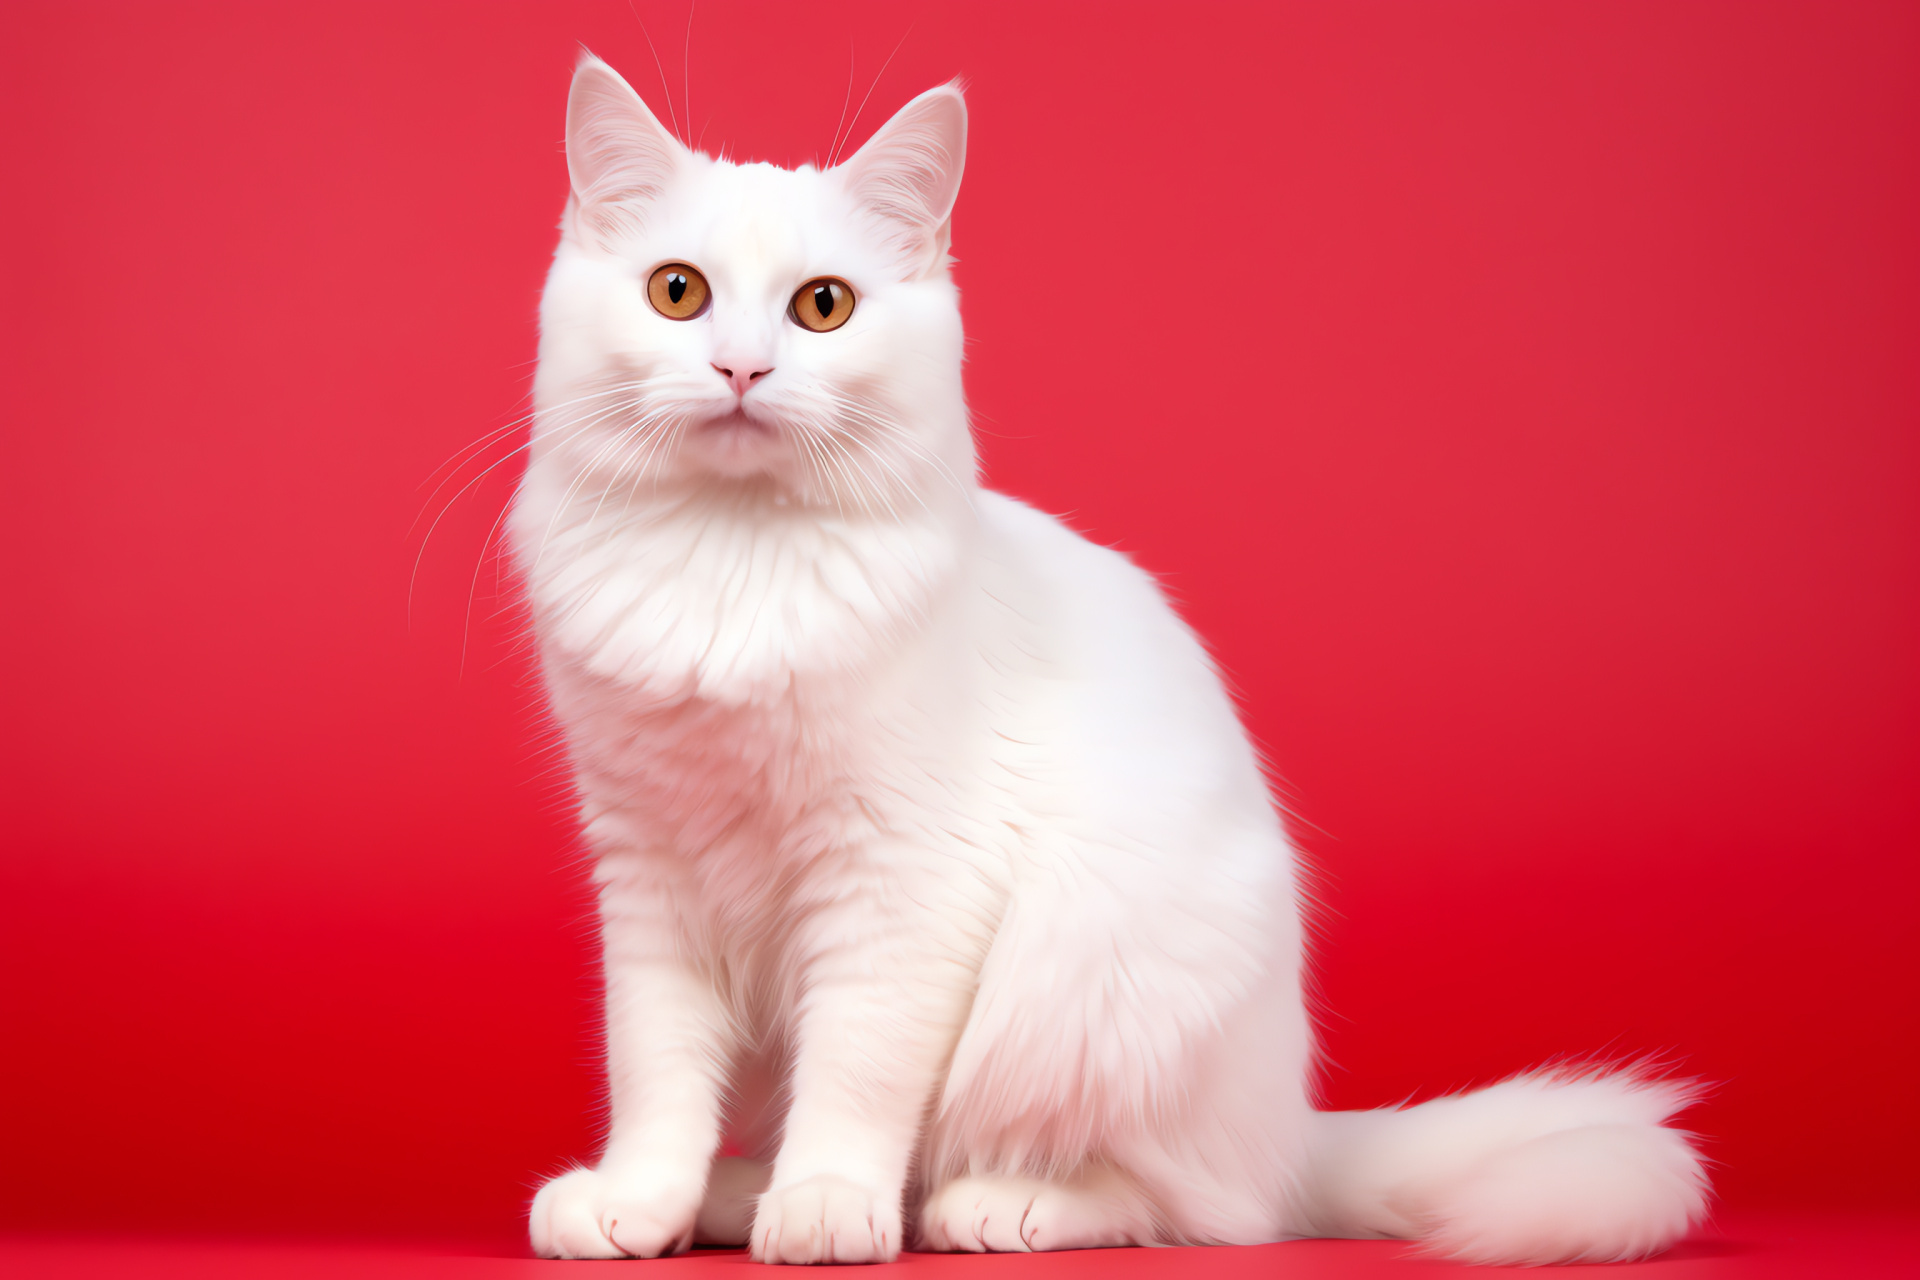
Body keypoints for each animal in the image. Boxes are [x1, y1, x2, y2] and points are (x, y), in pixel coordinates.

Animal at [514, 57, 1712, 1258]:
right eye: (678, 292)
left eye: (823, 306)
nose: (742, 368)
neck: (731, 559)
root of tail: (1290, 1125)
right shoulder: (648, 871)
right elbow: (656, 1065)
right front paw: (642, 1199)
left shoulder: (899, 880)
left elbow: (858, 1067)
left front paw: (824, 1203)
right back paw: (736, 1192)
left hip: (1097, 987)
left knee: (1192, 1204)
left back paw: (989, 1201)